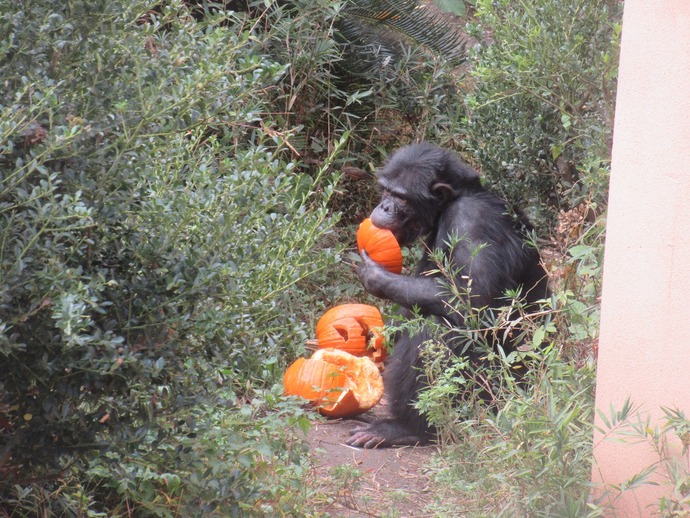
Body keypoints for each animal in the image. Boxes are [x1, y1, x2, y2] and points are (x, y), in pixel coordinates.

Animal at [350, 143, 548, 450]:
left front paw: (375, 276)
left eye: (401, 198)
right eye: (386, 191)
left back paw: (404, 428)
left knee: (436, 329)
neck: (452, 202)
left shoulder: (471, 221)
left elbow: (475, 301)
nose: (384, 206)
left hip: (494, 395)